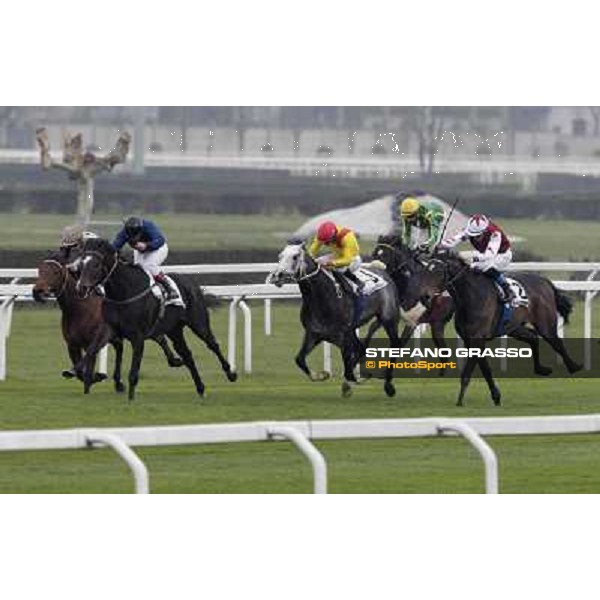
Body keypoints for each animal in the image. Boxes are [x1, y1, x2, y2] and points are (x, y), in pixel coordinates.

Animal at [32, 251, 183, 392]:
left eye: (55, 272)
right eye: (40, 270)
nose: (37, 291)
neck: (79, 308)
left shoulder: (95, 340)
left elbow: (87, 365)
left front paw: (96, 377)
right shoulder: (73, 344)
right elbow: (80, 371)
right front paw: (92, 377)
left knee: (158, 338)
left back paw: (174, 360)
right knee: (126, 347)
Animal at [75, 237, 234, 400]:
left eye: (95, 265)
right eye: (81, 264)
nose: (81, 288)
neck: (123, 293)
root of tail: (193, 285)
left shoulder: (138, 337)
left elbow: (133, 373)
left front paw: (131, 399)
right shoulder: (110, 328)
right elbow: (92, 349)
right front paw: (79, 376)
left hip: (198, 323)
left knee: (213, 344)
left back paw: (230, 373)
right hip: (174, 330)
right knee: (187, 355)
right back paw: (200, 388)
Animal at [270, 239, 400, 398]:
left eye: (295, 257)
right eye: (280, 256)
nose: (277, 275)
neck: (322, 297)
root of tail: (383, 271)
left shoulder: (342, 336)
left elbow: (349, 369)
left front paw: (359, 378)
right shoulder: (314, 333)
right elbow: (299, 359)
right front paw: (322, 375)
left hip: (389, 318)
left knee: (394, 345)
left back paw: (388, 385)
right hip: (353, 329)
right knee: (360, 347)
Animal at [398, 248, 580, 408]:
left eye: (438, 272)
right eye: (424, 270)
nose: (424, 296)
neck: (471, 297)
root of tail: (545, 281)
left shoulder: (477, 339)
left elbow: (467, 373)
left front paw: (460, 401)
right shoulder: (471, 340)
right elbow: (485, 369)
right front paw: (496, 396)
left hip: (545, 323)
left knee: (556, 342)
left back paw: (574, 366)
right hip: (513, 327)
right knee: (533, 337)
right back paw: (541, 369)